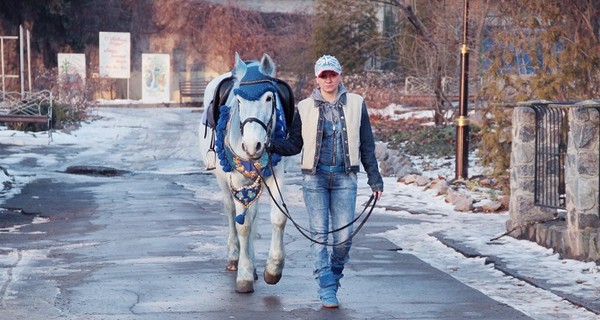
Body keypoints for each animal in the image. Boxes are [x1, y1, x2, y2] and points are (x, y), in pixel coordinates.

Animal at [199, 53, 290, 294]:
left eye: (269, 98)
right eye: (239, 102)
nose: (252, 145)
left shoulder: (277, 173)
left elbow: (278, 218)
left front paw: (273, 269)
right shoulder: (238, 179)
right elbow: (244, 225)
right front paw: (245, 275)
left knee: (252, 213)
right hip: (223, 179)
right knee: (232, 212)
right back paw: (234, 257)